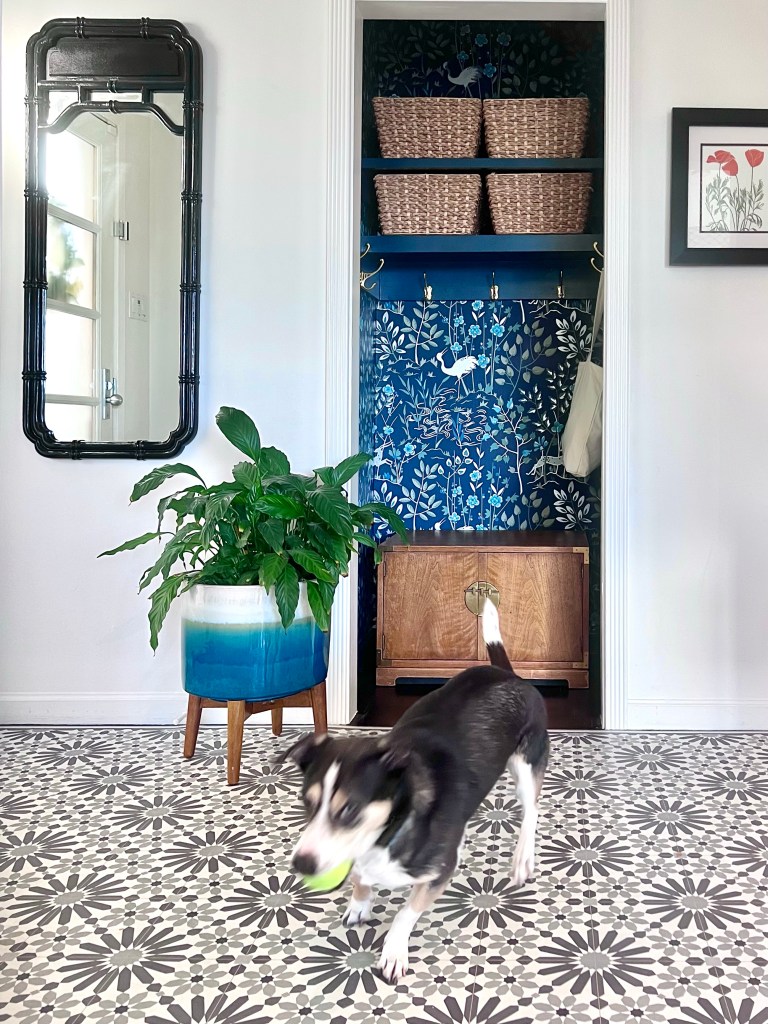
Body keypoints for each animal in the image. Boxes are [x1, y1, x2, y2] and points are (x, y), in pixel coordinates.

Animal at [280, 598, 549, 983]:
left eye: (349, 809)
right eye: (306, 802)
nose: (301, 864)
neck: (389, 830)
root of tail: (507, 673)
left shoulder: (438, 873)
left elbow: (407, 912)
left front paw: (393, 952)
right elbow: (360, 878)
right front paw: (359, 904)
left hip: (527, 764)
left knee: (531, 811)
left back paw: (522, 859)